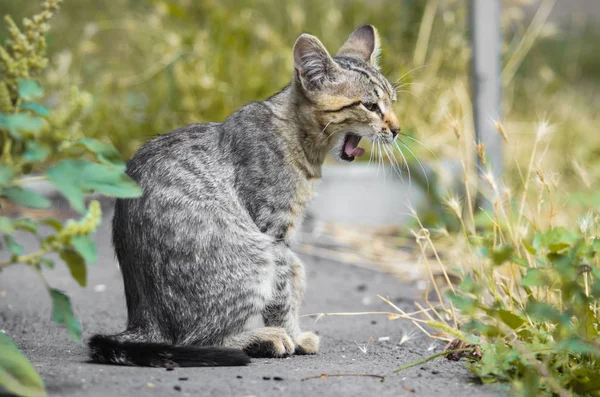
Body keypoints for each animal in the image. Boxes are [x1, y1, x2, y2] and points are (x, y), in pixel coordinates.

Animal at [89, 24, 398, 366]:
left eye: (393, 102)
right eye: (370, 106)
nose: (397, 129)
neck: (299, 139)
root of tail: (142, 322)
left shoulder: (285, 243)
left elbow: (291, 282)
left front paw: (295, 333)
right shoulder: (274, 232)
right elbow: (281, 294)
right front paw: (290, 335)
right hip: (254, 255)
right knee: (199, 339)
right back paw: (260, 339)